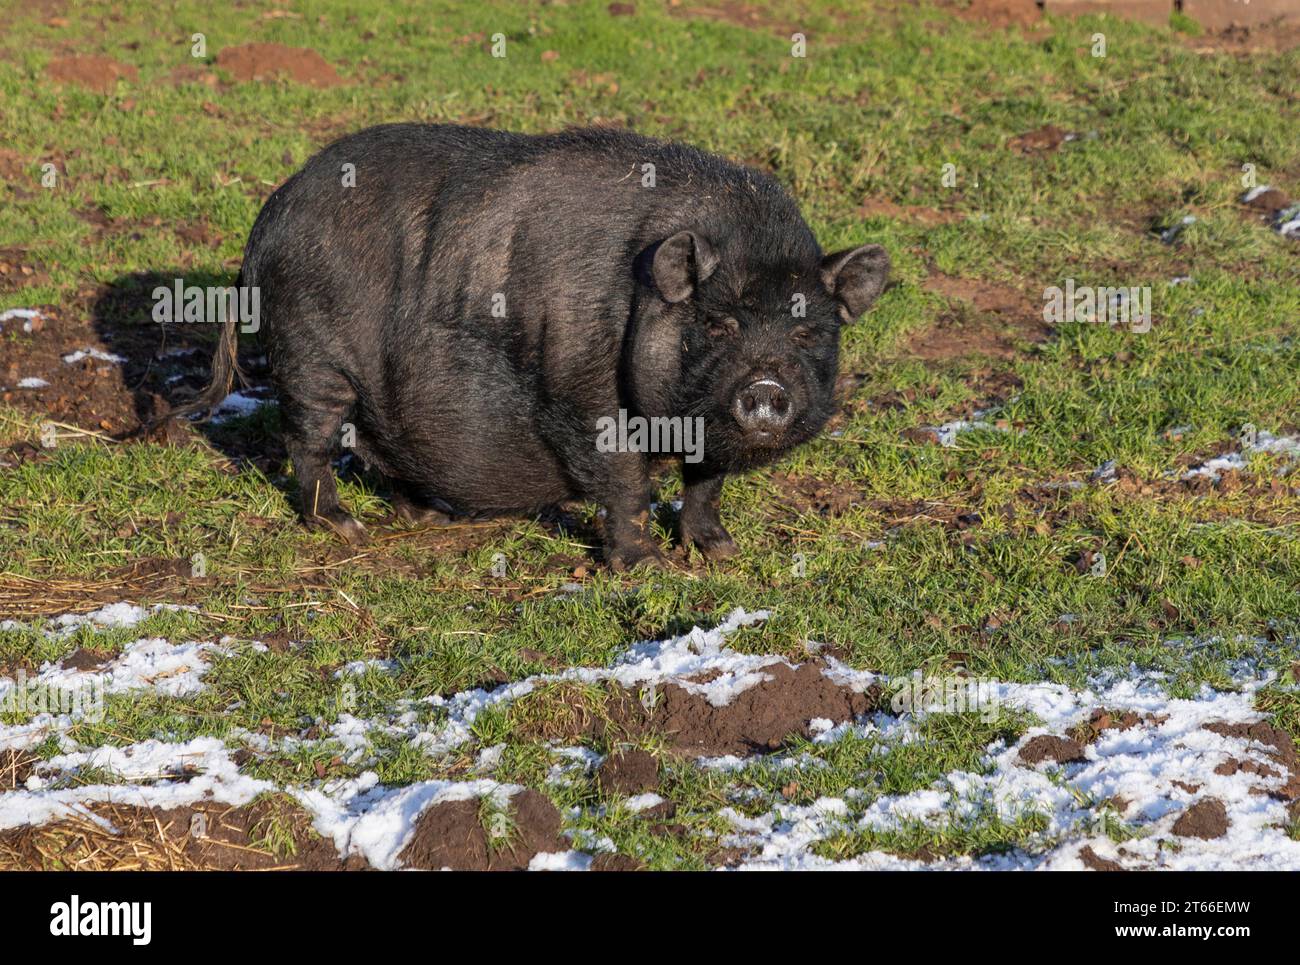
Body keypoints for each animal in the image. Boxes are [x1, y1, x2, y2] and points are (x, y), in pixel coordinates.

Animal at [176, 124, 889, 569]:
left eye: (808, 331)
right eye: (718, 326)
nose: (766, 387)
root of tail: (268, 215)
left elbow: (706, 484)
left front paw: (722, 552)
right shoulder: (583, 392)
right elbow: (625, 481)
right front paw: (648, 567)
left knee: (378, 444)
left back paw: (430, 519)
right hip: (311, 354)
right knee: (310, 440)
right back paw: (344, 526)